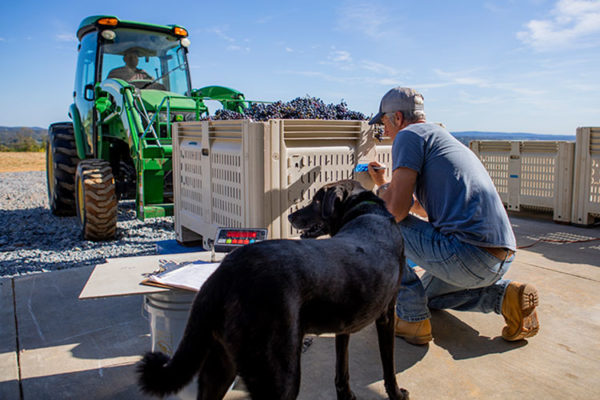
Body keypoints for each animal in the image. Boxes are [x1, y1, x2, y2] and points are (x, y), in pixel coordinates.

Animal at [137, 180, 408, 398]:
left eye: (317, 201)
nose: (290, 217)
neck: (364, 211)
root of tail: (226, 273)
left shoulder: (345, 326)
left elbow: (342, 371)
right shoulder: (387, 314)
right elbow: (389, 367)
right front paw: (397, 394)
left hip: (220, 365)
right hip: (280, 375)